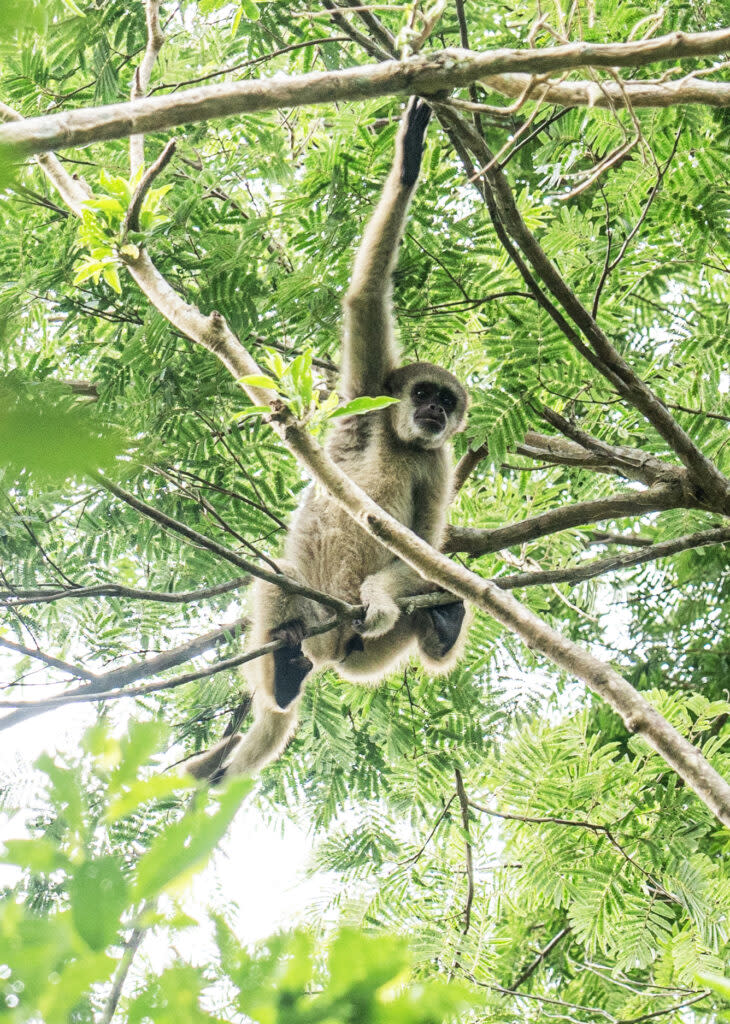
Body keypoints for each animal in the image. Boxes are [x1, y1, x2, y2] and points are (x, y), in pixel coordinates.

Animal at [189, 97, 466, 782]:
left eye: (446, 403)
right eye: (424, 393)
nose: (433, 411)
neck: (403, 442)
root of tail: (332, 648)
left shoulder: (439, 458)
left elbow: (424, 551)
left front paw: (383, 597)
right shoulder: (371, 395)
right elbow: (365, 296)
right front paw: (408, 160)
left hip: (362, 648)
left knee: (432, 592)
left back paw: (441, 623)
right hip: (310, 614)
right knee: (278, 575)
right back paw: (285, 675)